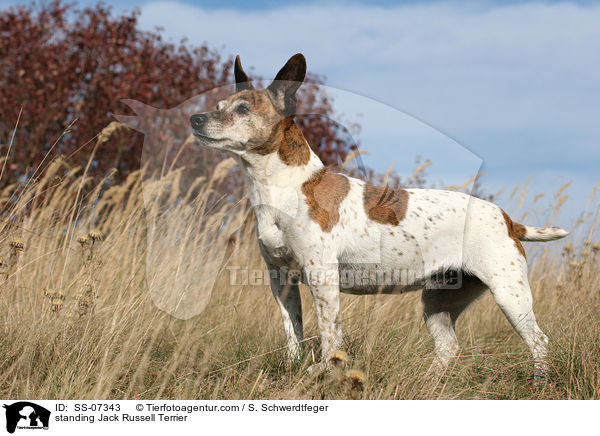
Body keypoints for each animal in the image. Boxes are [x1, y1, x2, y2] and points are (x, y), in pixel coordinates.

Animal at [191, 53, 568, 374]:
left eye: (242, 109)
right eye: (219, 105)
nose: (195, 117)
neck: (283, 187)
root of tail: (507, 219)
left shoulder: (322, 277)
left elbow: (329, 335)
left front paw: (324, 373)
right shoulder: (281, 281)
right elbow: (293, 334)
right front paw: (294, 366)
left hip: (509, 294)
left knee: (539, 342)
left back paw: (539, 381)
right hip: (438, 302)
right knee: (448, 347)